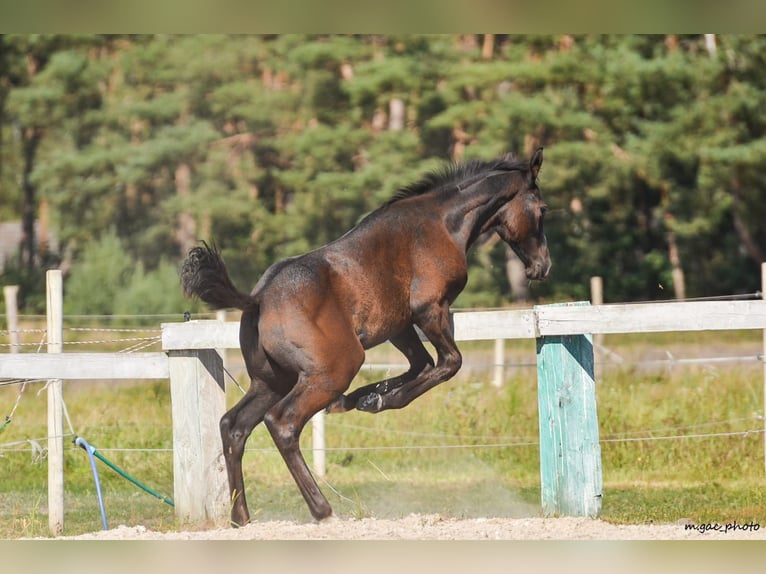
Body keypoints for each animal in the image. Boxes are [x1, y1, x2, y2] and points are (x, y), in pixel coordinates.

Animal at [181, 147, 551, 526]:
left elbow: (421, 365)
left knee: (234, 426)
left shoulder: (400, 325)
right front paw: (379, 400)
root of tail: (258, 299)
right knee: (282, 423)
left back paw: (241, 516)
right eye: (542, 209)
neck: (442, 222)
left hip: (271, 381)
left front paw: (365, 399)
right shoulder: (430, 309)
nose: (542, 266)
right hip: (334, 370)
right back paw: (323, 510)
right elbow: (449, 363)